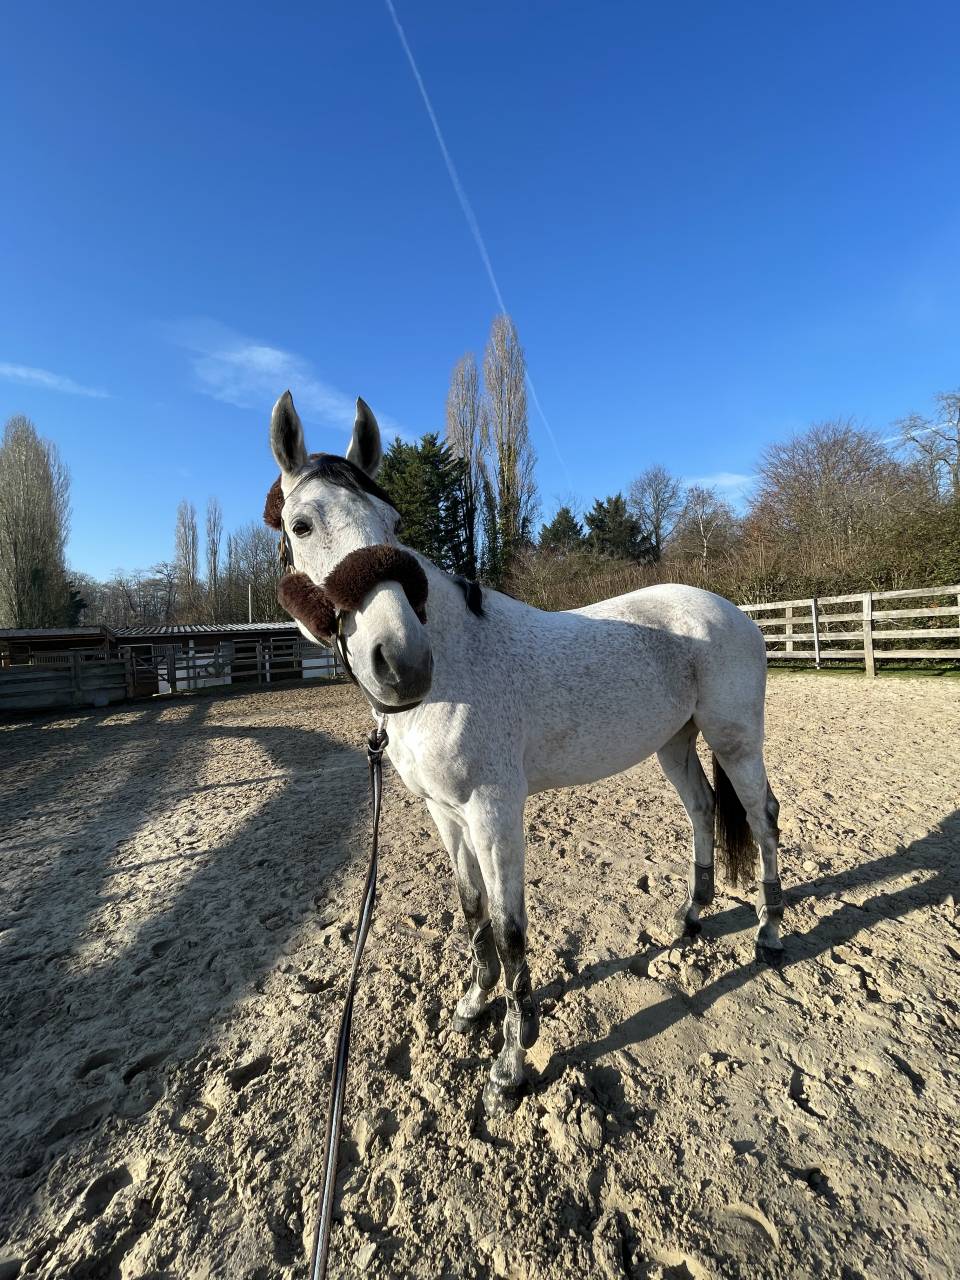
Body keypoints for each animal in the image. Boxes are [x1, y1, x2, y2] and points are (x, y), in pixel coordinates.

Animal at [265, 390, 784, 1116]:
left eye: (393, 523)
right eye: (303, 525)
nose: (402, 663)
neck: (458, 664)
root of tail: (733, 613)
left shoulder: (493, 813)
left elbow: (511, 931)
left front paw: (511, 1066)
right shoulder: (445, 814)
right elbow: (473, 910)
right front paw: (472, 1006)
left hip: (734, 738)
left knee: (762, 817)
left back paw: (770, 935)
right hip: (674, 744)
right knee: (705, 811)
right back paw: (690, 920)